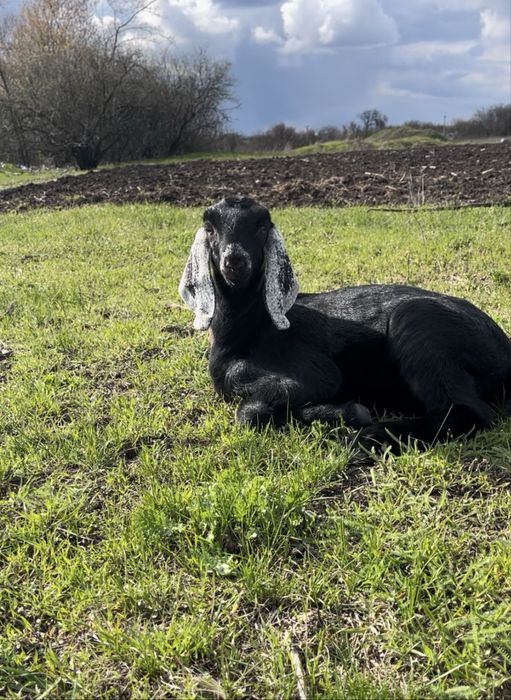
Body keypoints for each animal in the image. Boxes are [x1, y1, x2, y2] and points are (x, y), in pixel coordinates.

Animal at [179, 195, 511, 452]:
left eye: (262, 225)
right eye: (209, 227)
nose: (235, 260)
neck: (245, 332)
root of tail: (503, 350)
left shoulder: (315, 373)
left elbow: (250, 411)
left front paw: (349, 414)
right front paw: (340, 413)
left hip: (420, 326)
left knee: (469, 413)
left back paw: (367, 438)